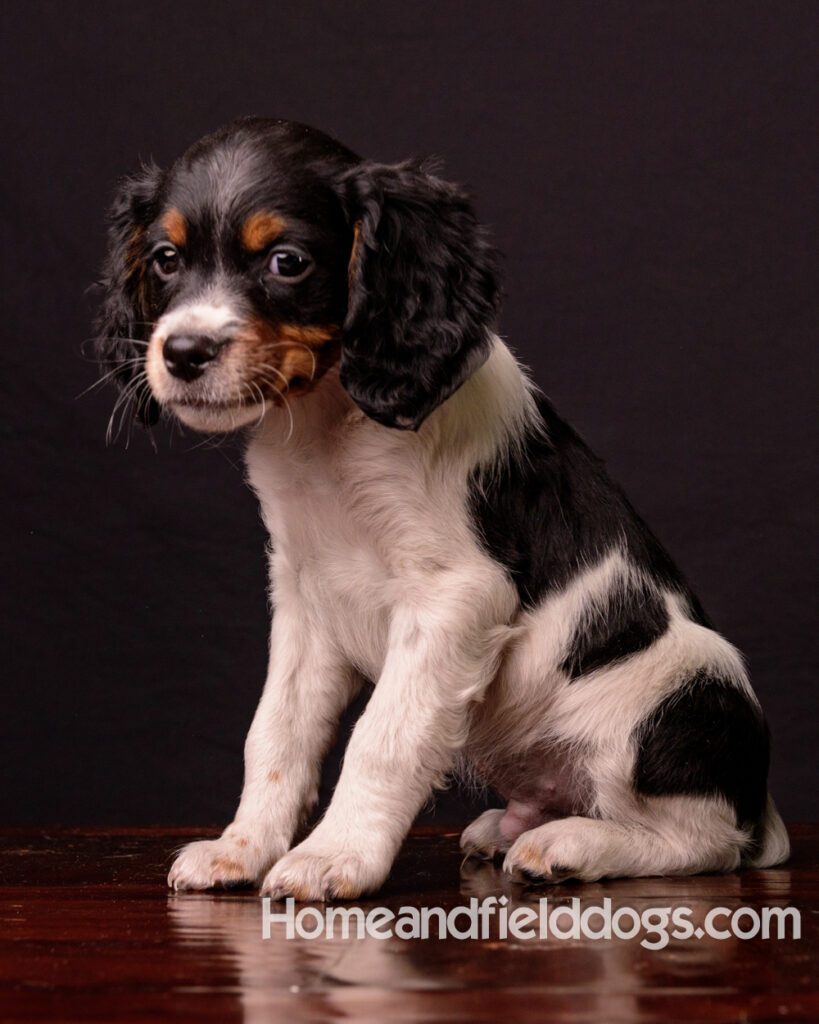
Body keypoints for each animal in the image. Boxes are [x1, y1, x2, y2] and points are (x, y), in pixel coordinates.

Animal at [94, 116, 786, 897]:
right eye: (165, 259)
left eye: (286, 262)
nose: (183, 352)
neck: (330, 426)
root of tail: (760, 804)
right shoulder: (305, 598)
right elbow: (276, 731)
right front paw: (241, 846)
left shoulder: (452, 596)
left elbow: (382, 738)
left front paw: (335, 856)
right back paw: (514, 827)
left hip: (673, 692)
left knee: (701, 840)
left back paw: (573, 844)